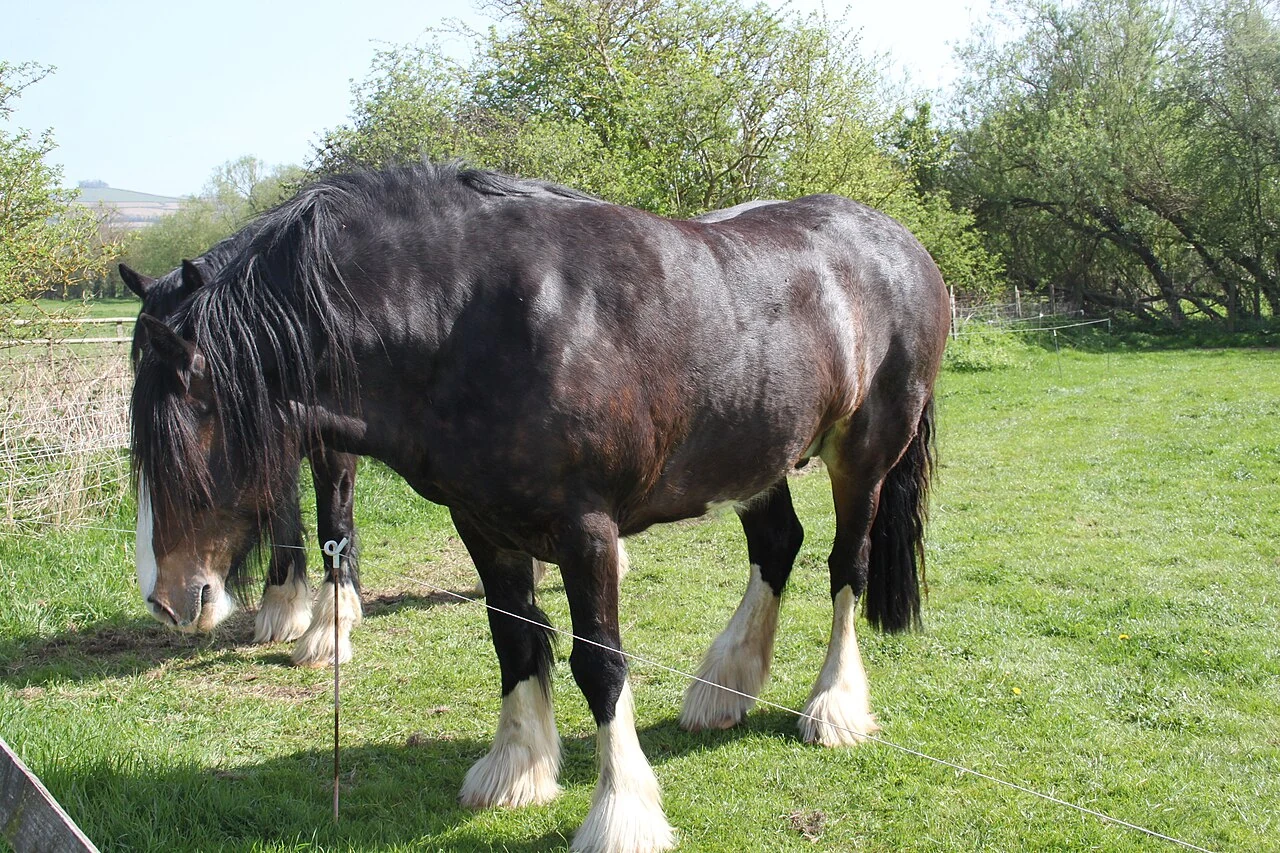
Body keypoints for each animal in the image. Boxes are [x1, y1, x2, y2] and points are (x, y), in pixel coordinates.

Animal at [130, 162, 949, 853]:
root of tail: (904, 244)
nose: (170, 597)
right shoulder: (484, 526)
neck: (474, 321)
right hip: (754, 457)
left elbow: (600, 663)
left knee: (847, 566)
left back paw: (833, 705)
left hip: (863, 456)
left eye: (195, 424)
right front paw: (516, 769)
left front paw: (622, 814)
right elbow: (515, 639)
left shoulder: (585, 532)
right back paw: (724, 685)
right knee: (778, 544)